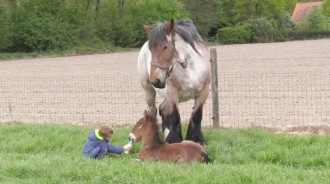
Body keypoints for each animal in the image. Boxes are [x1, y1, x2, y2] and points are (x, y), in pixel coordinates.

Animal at [137, 18, 210, 146]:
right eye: (151, 49)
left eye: (165, 47)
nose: (155, 80)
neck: (189, 68)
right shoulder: (172, 93)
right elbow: (175, 117)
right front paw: (173, 140)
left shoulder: (203, 92)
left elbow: (196, 116)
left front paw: (197, 139)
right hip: (148, 90)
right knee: (153, 112)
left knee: (163, 109)